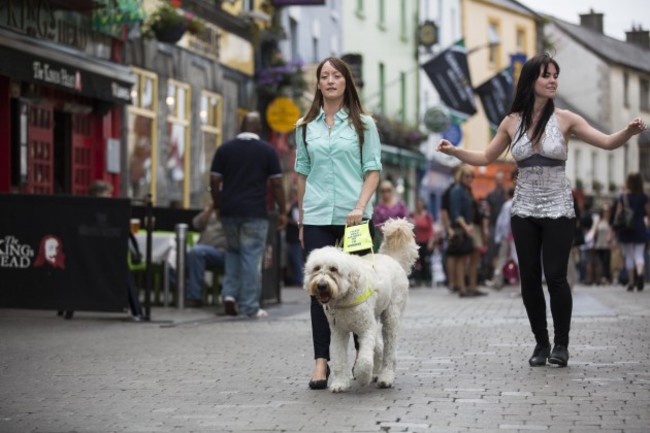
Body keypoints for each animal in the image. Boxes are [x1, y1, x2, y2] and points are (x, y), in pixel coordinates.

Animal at [302, 218, 416, 390]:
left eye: (333, 269)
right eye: (316, 268)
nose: (321, 285)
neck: (345, 297)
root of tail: (392, 259)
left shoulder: (366, 329)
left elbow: (364, 360)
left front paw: (362, 377)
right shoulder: (338, 332)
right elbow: (339, 359)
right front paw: (340, 382)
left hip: (392, 316)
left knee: (389, 349)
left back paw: (385, 377)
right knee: (379, 345)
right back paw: (376, 372)